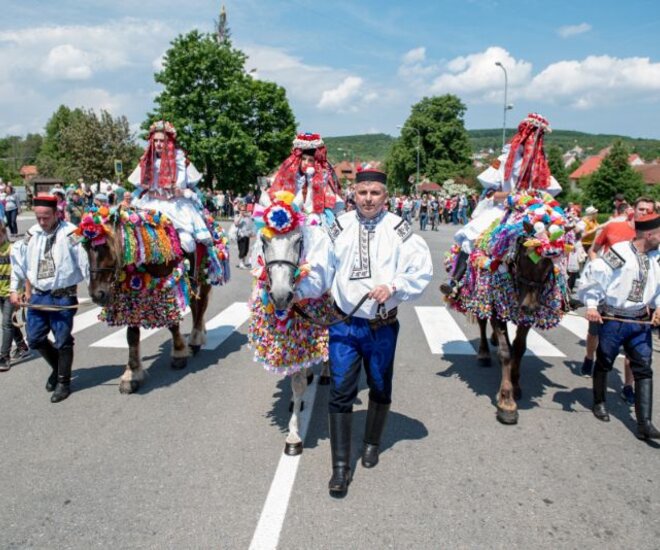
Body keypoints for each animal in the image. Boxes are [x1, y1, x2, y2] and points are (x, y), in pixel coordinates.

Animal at [81, 209, 213, 394]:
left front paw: (179, 354)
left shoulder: (168, 289)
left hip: (205, 276)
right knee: (195, 306)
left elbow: (173, 324)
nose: (97, 294)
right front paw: (132, 375)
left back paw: (195, 340)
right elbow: (132, 335)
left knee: (201, 306)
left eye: (105, 246)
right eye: (85, 247)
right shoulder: (132, 296)